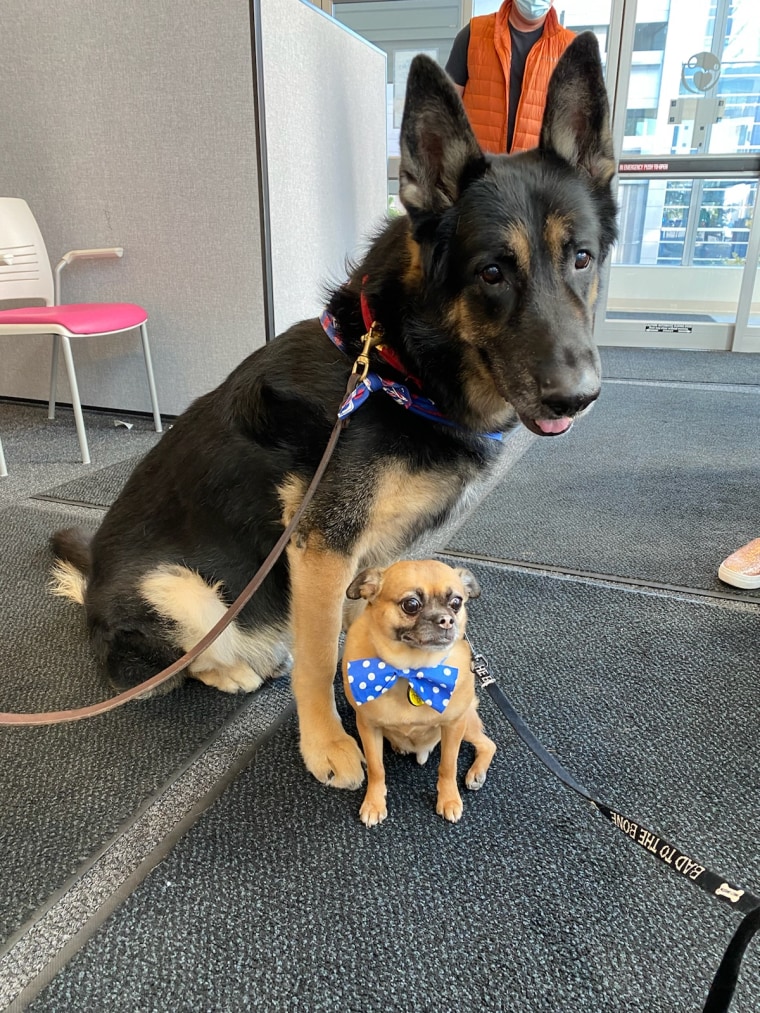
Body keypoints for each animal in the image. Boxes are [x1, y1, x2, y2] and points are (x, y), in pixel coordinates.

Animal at [50, 35, 616, 786]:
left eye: (581, 258)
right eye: (492, 272)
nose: (577, 397)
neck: (397, 367)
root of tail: (90, 584)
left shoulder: (365, 558)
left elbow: (357, 629)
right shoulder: (322, 546)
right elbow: (320, 655)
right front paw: (327, 742)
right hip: (181, 590)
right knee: (160, 666)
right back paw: (232, 669)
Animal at [342, 559, 496, 826]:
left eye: (456, 602)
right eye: (411, 604)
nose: (446, 620)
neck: (411, 671)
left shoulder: (453, 726)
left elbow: (448, 766)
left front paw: (449, 800)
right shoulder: (368, 728)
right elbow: (376, 768)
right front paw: (374, 802)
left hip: (466, 724)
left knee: (488, 744)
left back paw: (477, 773)